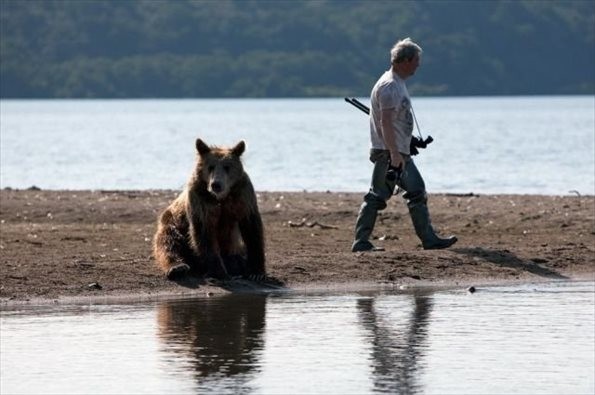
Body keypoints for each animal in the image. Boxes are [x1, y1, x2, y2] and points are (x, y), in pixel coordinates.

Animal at [154, 139, 266, 282]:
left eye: (227, 167)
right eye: (210, 166)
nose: (216, 184)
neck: (221, 198)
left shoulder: (243, 196)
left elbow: (252, 230)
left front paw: (256, 272)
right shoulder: (201, 200)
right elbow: (205, 233)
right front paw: (219, 272)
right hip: (172, 221)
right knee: (169, 241)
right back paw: (177, 267)